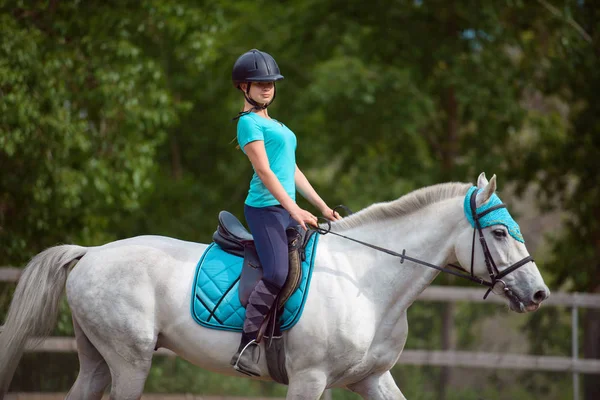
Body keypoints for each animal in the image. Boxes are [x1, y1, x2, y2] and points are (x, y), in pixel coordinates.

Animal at [0, 173, 552, 398]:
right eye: (499, 233)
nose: (539, 294)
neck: (366, 282)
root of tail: (91, 253)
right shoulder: (310, 379)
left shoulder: (371, 378)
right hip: (129, 361)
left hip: (97, 359)